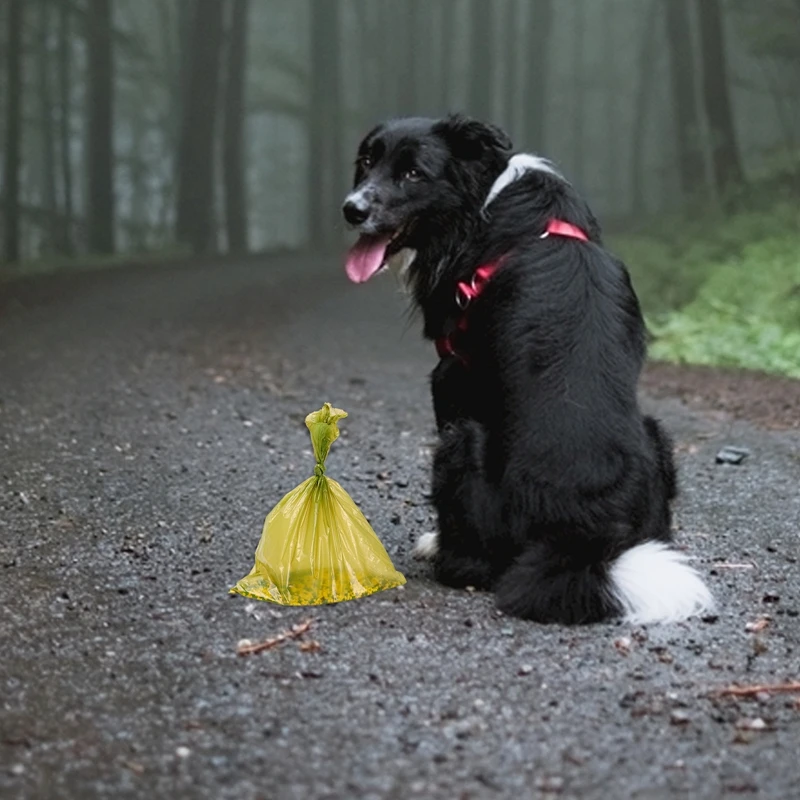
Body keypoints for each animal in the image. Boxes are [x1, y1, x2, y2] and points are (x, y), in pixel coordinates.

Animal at [342, 114, 712, 624]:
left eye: (413, 174)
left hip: (460, 441)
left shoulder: (451, 373)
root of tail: (578, 537)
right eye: (366, 161)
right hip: (657, 435)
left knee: (474, 563)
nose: (351, 209)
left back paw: (443, 552)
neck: (484, 199)